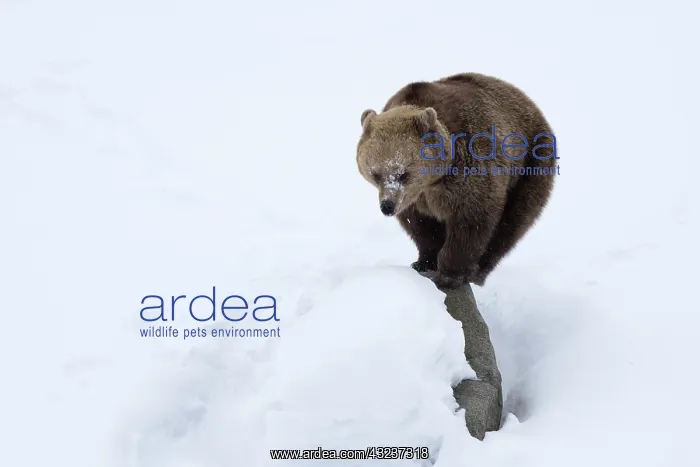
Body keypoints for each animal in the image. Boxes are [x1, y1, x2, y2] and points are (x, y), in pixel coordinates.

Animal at [356, 72, 557, 289]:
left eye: (403, 173)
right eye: (375, 174)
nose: (387, 206)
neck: (432, 180)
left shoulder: (468, 167)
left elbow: (470, 220)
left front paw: (450, 274)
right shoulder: (415, 199)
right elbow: (420, 227)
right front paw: (424, 262)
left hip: (530, 165)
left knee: (512, 224)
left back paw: (479, 271)